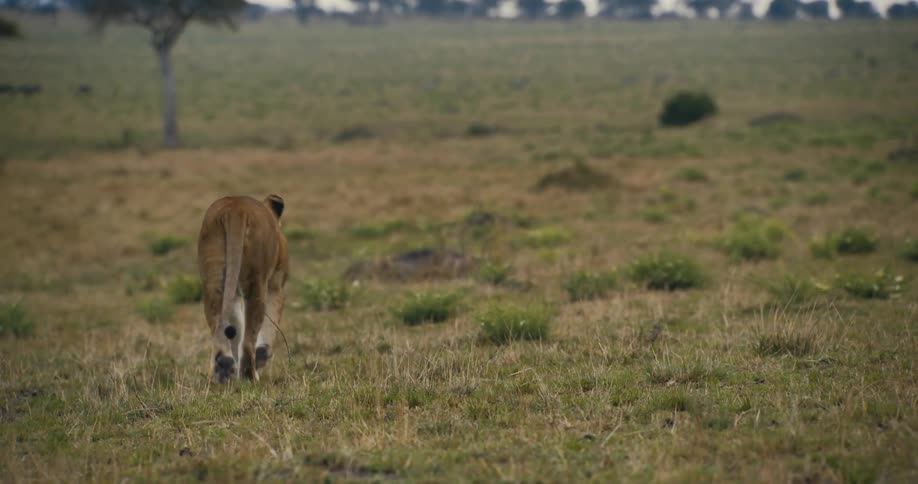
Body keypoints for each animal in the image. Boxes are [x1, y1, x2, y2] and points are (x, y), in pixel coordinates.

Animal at [197, 194, 288, 382]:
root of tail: (234, 210)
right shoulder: (276, 286)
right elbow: (271, 325)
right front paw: (261, 358)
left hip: (213, 280)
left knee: (221, 329)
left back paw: (224, 372)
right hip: (255, 283)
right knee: (248, 340)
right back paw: (250, 377)